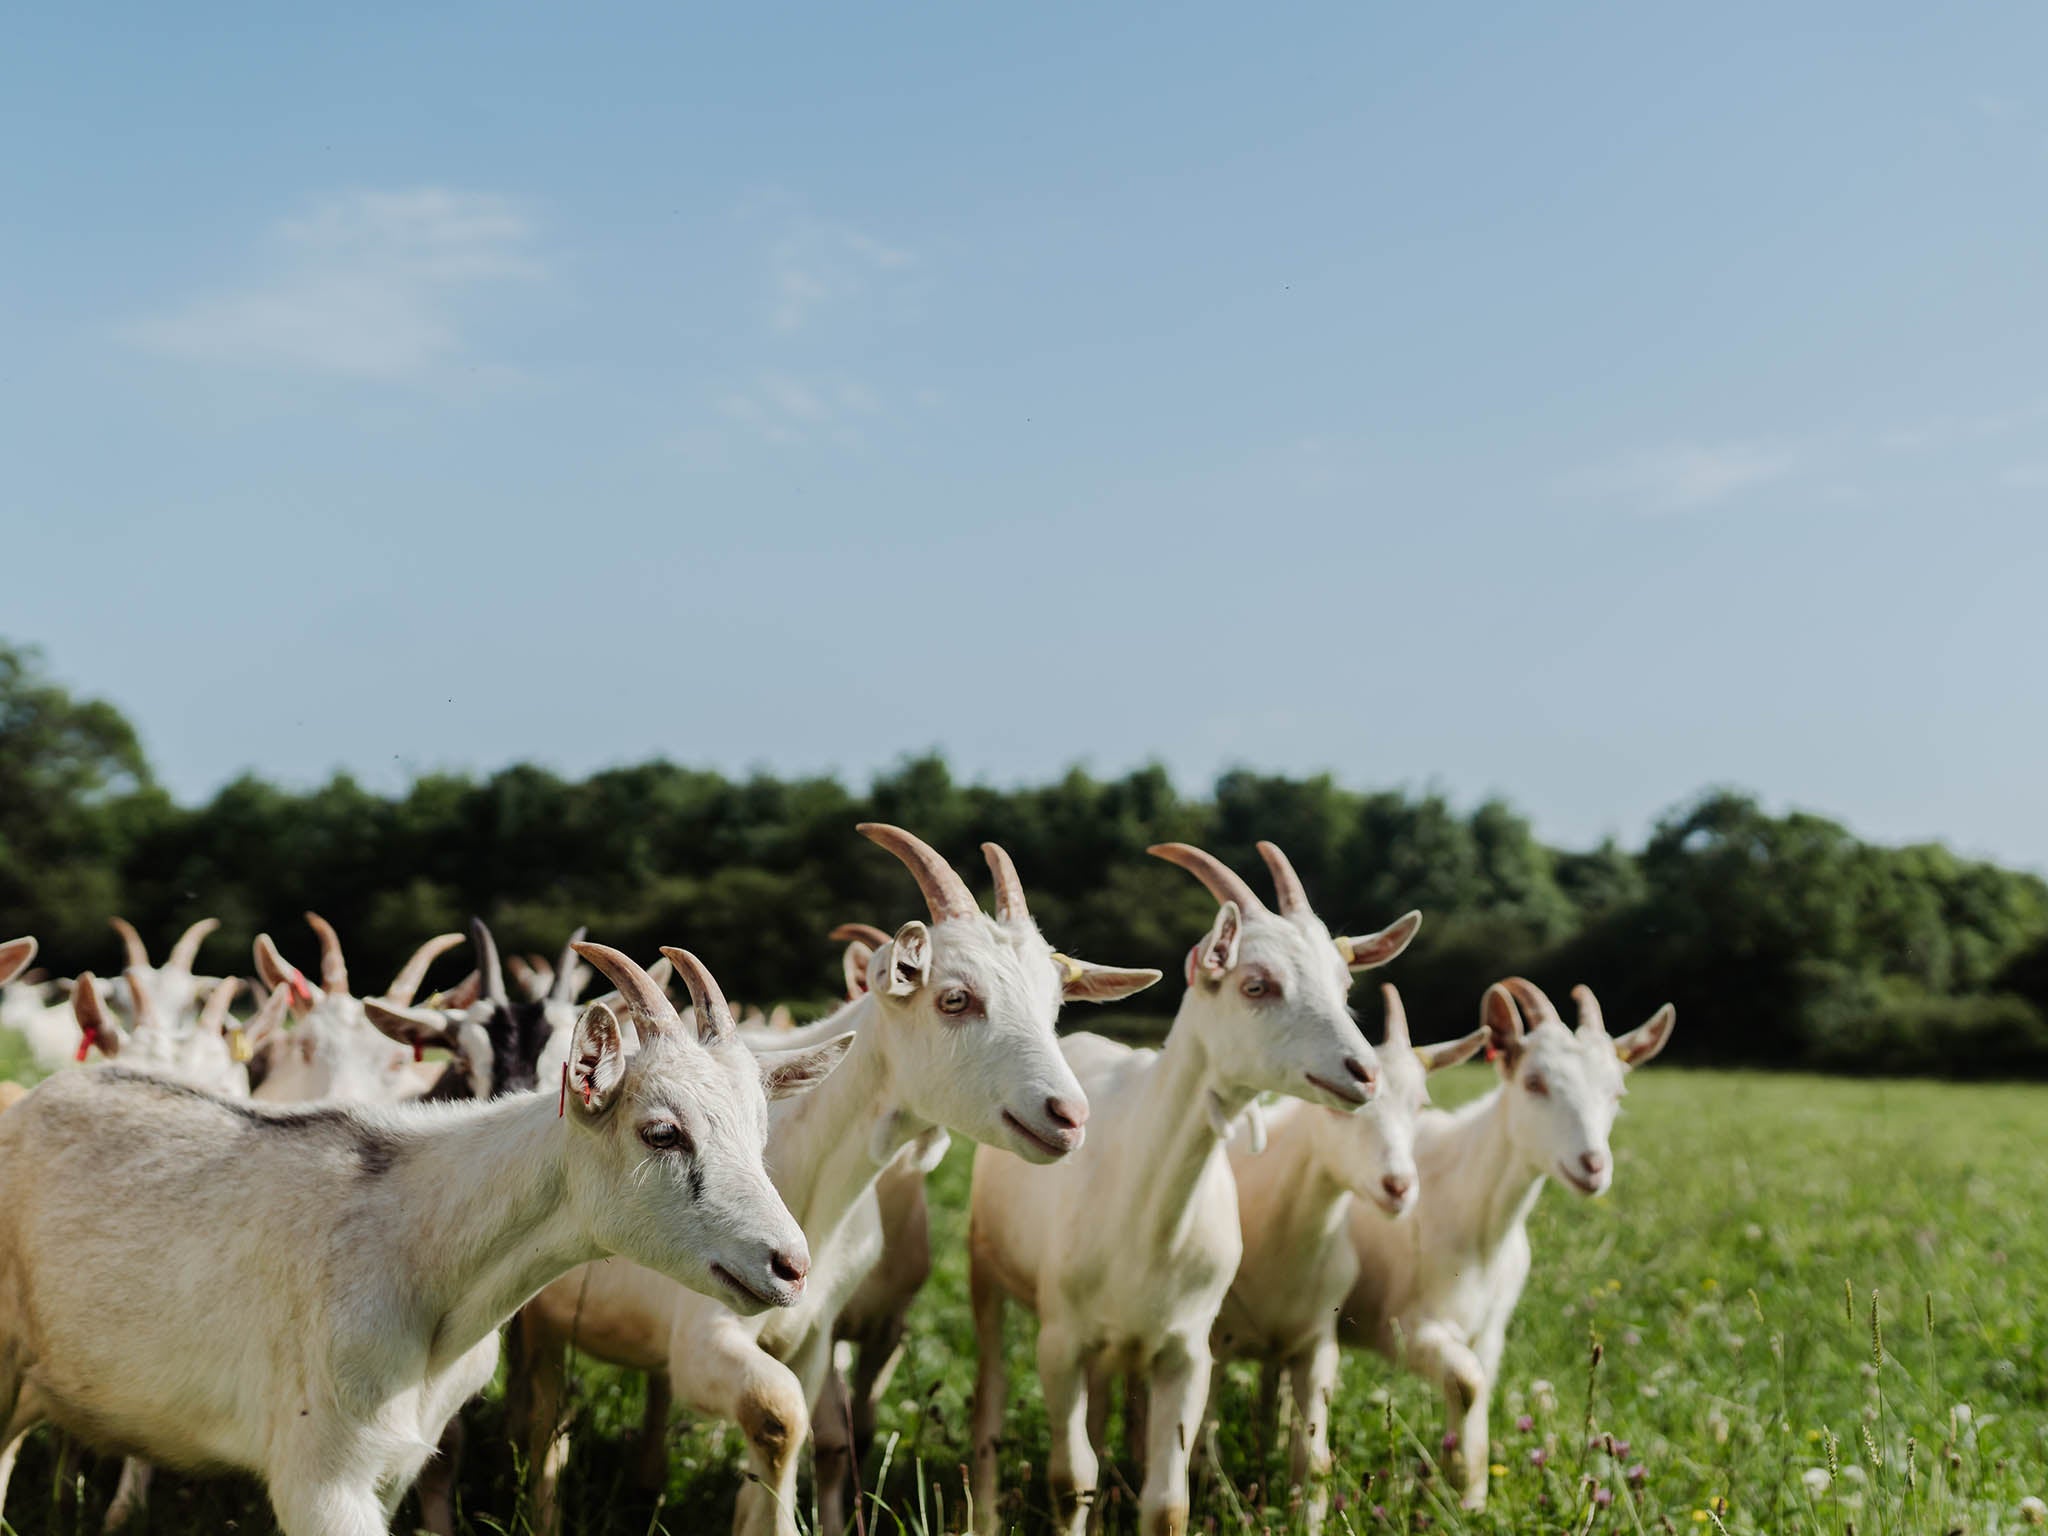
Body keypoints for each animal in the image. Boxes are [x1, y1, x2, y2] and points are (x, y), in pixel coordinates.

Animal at [0, 946, 839, 1531]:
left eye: (761, 1130)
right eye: (661, 1131)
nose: (790, 1267)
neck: (421, 1247)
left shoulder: (395, 1465)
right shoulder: (319, 1476)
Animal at [512, 831, 1163, 1536]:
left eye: (1054, 1006)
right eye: (954, 998)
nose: (1068, 1116)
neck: (812, 1173)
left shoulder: (813, 1332)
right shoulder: (704, 1334)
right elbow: (780, 1412)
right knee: (544, 1420)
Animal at [966, 843, 1417, 1536]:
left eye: (1344, 987)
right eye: (1256, 985)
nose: (1363, 1073)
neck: (1145, 1209)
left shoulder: (1188, 1349)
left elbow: (1169, 1499)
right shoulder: (1061, 1339)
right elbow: (1071, 1478)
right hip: (985, 1270)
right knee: (990, 1390)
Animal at [1204, 987, 1482, 1531]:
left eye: (1420, 1104)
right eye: (1338, 1105)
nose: (1398, 1186)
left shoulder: (1317, 1343)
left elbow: (1313, 1459)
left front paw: (1307, 1520)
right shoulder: (1213, 1342)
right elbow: (1201, 1444)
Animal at [1335, 978, 1671, 1507]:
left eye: (1616, 1091)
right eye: (1534, 1083)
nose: (1593, 1165)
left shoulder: (1489, 1331)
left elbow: (1476, 1392)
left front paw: (1470, 1497)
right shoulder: (1402, 1326)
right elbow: (1467, 1381)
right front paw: (1461, 1484)